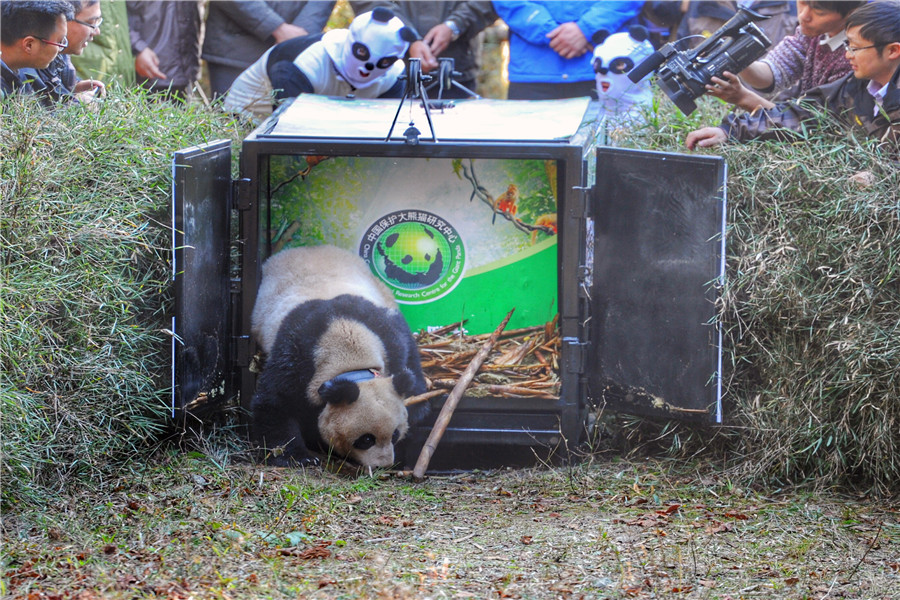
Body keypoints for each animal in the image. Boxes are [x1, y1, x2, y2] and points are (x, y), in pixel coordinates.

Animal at [248, 245, 428, 468]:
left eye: (395, 434)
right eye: (366, 439)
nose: (383, 465)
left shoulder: (386, 336)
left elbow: (403, 351)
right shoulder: (295, 353)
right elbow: (275, 402)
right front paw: (299, 457)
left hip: (384, 297)